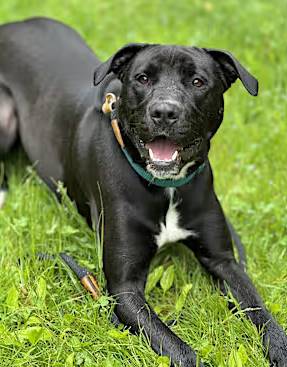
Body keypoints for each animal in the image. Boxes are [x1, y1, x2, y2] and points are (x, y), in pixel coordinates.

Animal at [0, 18, 286, 367]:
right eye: (143, 78)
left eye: (197, 81)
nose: (164, 112)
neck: (167, 187)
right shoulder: (124, 289)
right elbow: (182, 351)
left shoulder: (224, 261)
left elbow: (261, 310)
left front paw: (279, 347)